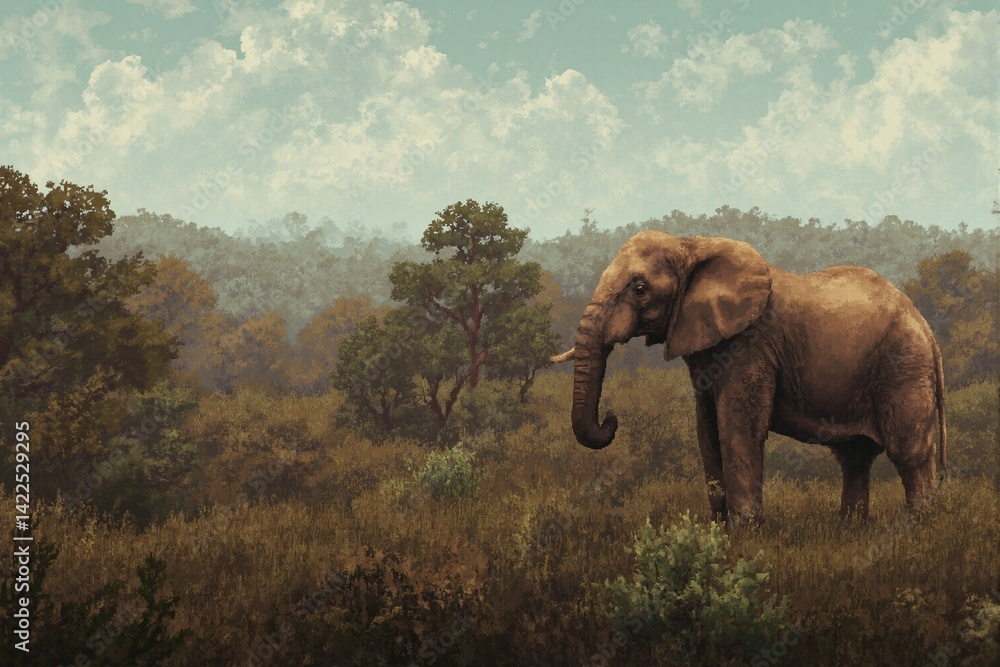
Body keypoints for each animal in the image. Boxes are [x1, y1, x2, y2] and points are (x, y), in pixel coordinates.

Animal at [551, 230, 946, 522]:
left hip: (903, 366)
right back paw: (850, 530)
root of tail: (928, 331)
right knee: (855, 457)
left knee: (908, 451)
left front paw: (747, 533)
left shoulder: (751, 344)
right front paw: (719, 531)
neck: (692, 243)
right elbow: (707, 431)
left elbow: (738, 429)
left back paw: (917, 530)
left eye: (639, 289)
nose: (611, 417)